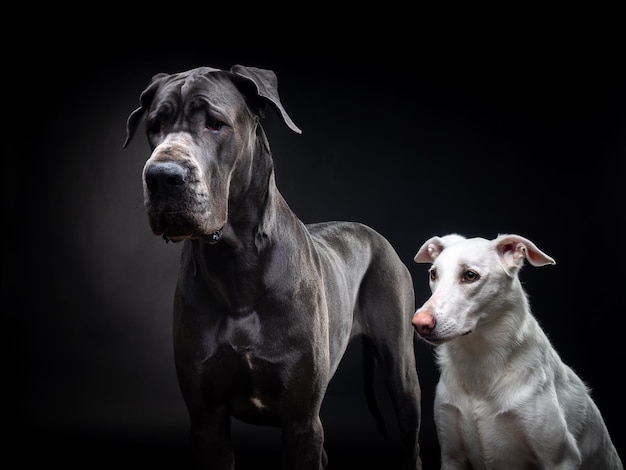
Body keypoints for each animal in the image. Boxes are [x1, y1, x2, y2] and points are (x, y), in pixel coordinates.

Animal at [410, 233, 620, 468]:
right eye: (433, 274)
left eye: (470, 275)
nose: (419, 324)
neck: (479, 360)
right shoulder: (451, 456)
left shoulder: (560, 458)